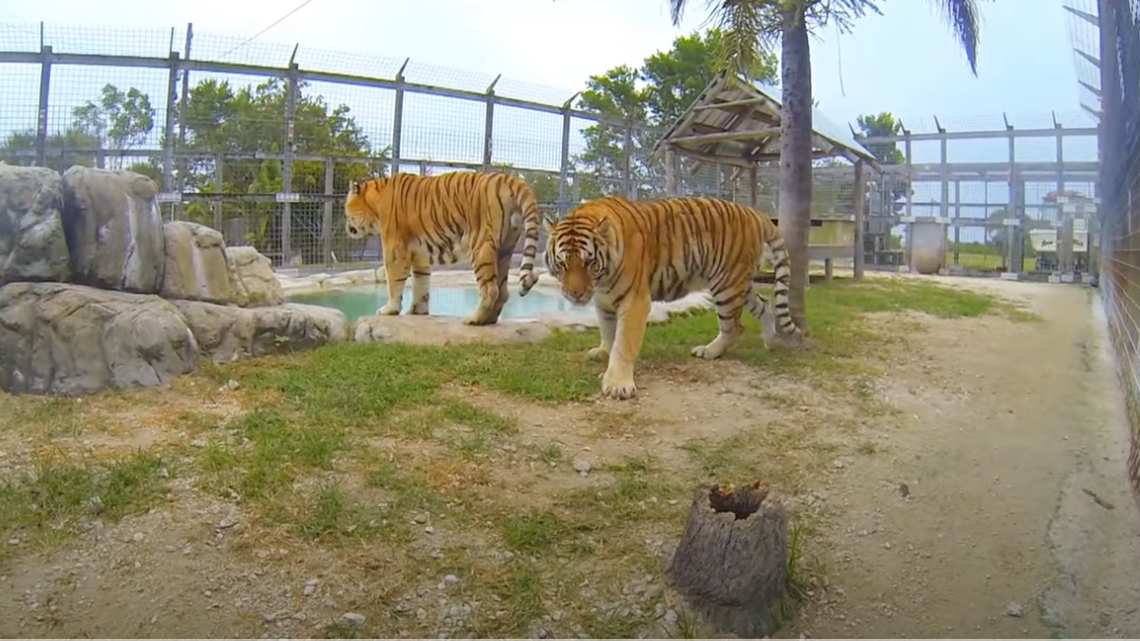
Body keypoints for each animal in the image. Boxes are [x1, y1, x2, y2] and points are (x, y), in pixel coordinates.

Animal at [343, 171, 542, 326]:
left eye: (346, 211)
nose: (346, 227)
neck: (375, 202)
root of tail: (510, 179)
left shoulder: (394, 250)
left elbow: (393, 282)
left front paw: (389, 310)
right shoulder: (420, 255)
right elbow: (420, 283)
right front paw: (417, 311)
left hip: (481, 247)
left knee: (491, 290)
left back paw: (474, 320)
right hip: (505, 249)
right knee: (503, 292)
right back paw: (488, 320)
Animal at [543, 194, 802, 400]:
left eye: (589, 263)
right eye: (563, 264)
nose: (575, 294)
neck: (603, 279)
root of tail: (755, 213)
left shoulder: (635, 301)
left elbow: (624, 343)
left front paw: (618, 385)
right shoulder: (603, 301)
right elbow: (608, 332)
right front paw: (603, 352)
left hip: (726, 285)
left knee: (734, 327)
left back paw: (709, 351)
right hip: (740, 284)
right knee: (765, 306)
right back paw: (769, 341)